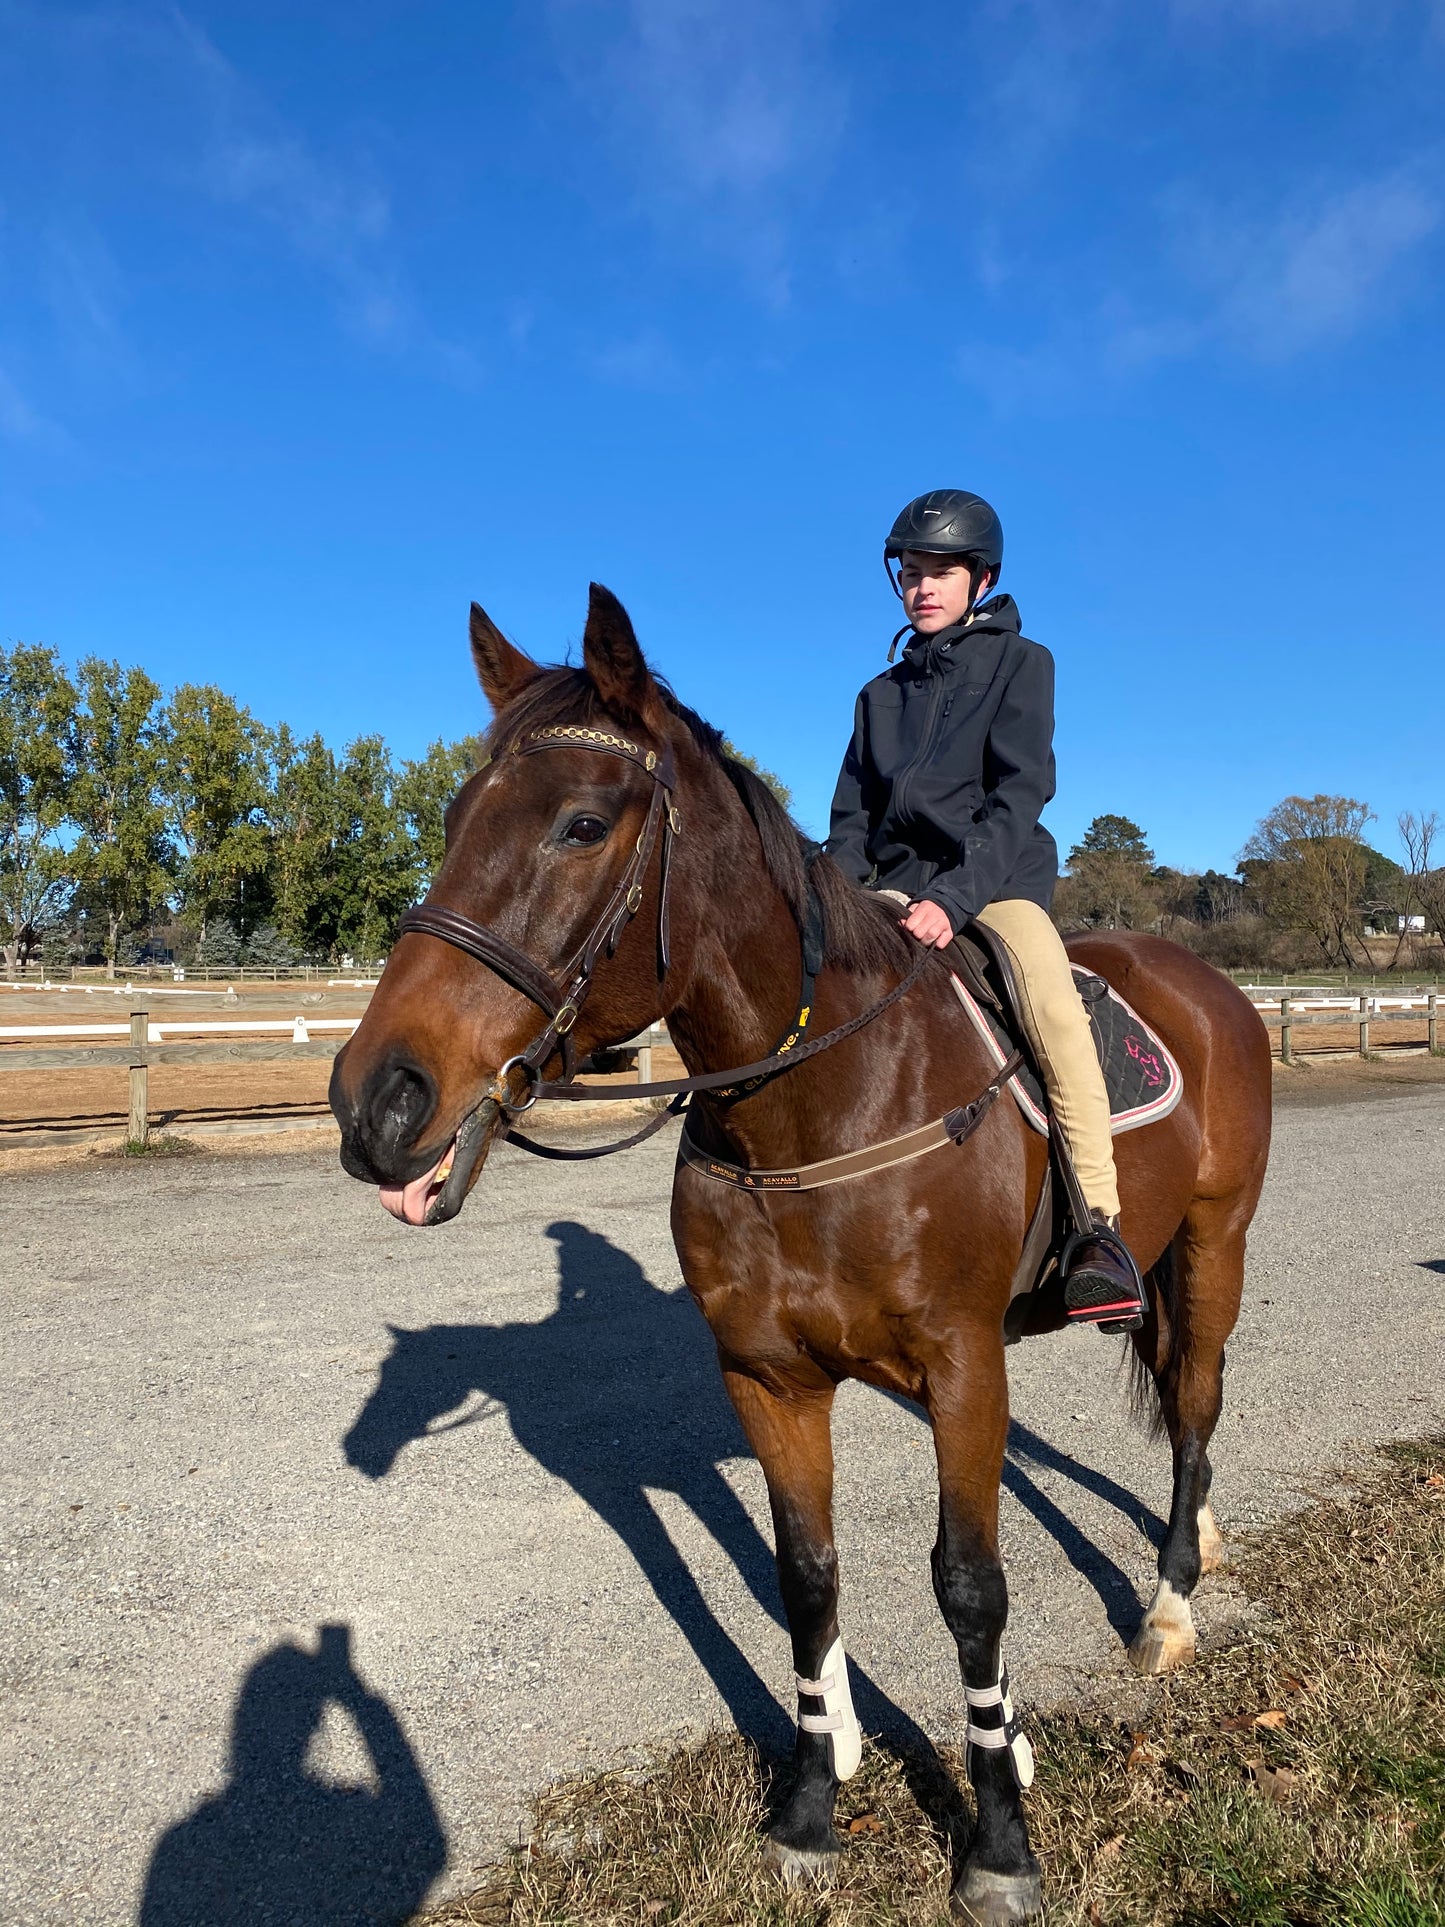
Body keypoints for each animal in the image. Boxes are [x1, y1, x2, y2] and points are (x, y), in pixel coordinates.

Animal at [325, 585, 1263, 1927]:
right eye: (453, 819)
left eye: (581, 823)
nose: (375, 1102)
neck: (825, 1098)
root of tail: (1205, 981)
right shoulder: (769, 1379)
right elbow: (806, 1577)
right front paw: (814, 1804)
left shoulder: (964, 1369)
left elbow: (968, 1585)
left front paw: (998, 1838)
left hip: (1210, 1244)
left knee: (1192, 1404)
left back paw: (1172, 1603)